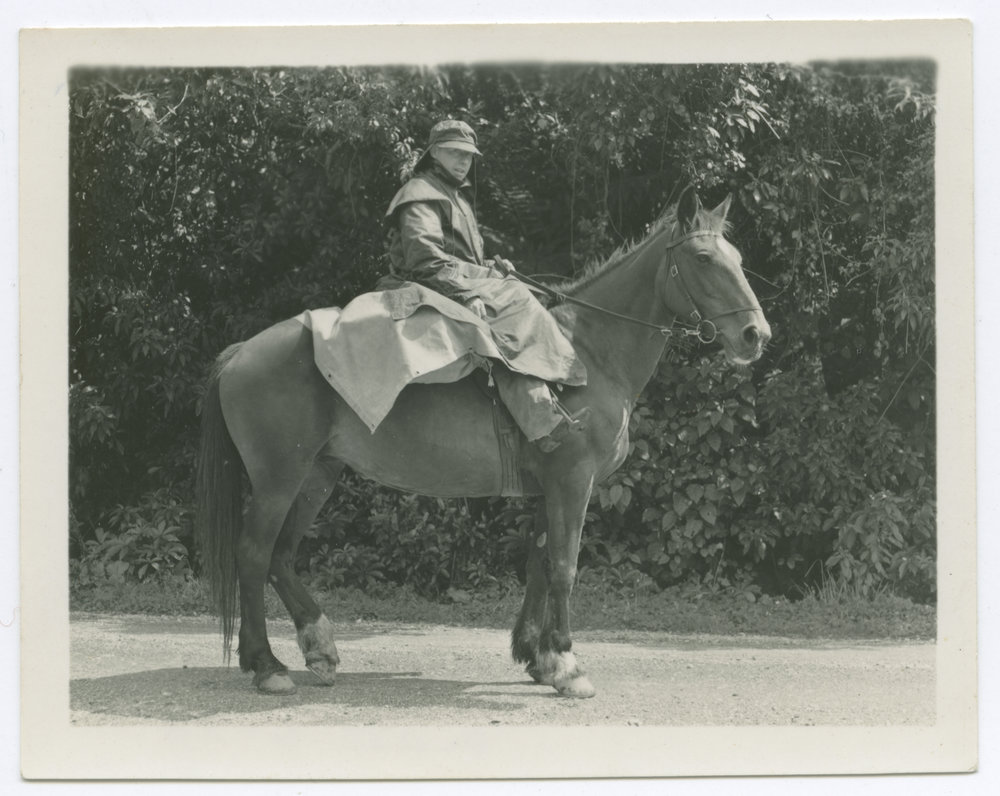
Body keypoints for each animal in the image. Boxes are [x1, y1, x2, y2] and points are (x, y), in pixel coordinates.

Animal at [195, 186, 771, 698]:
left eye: (739, 258)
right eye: (703, 258)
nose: (756, 336)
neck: (588, 353)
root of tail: (243, 350)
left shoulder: (550, 488)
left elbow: (539, 566)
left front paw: (538, 657)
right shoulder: (573, 482)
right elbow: (564, 567)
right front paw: (568, 664)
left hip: (317, 474)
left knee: (280, 556)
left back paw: (317, 647)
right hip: (279, 479)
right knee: (254, 554)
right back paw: (267, 664)